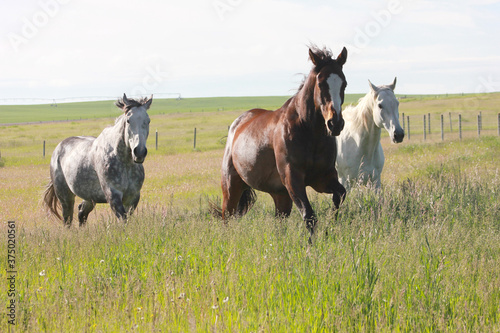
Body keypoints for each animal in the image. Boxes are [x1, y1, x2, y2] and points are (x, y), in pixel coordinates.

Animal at [43, 92, 151, 226]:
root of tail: (58, 148)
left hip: (89, 197)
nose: (139, 152)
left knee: (81, 213)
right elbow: (123, 219)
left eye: (148, 121)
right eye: (128, 120)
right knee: (68, 219)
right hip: (65, 196)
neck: (124, 163)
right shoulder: (113, 195)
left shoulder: (133, 197)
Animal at [217, 45, 350, 240]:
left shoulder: (323, 177)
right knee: (227, 216)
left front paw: (331, 227)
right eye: (320, 83)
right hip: (232, 187)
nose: (335, 123)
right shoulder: (292, 178)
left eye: (344, 83)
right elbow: (309, 215)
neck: (309, 132)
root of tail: (237, 125)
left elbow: (339, 195)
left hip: (280, 195)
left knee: (279, 221)